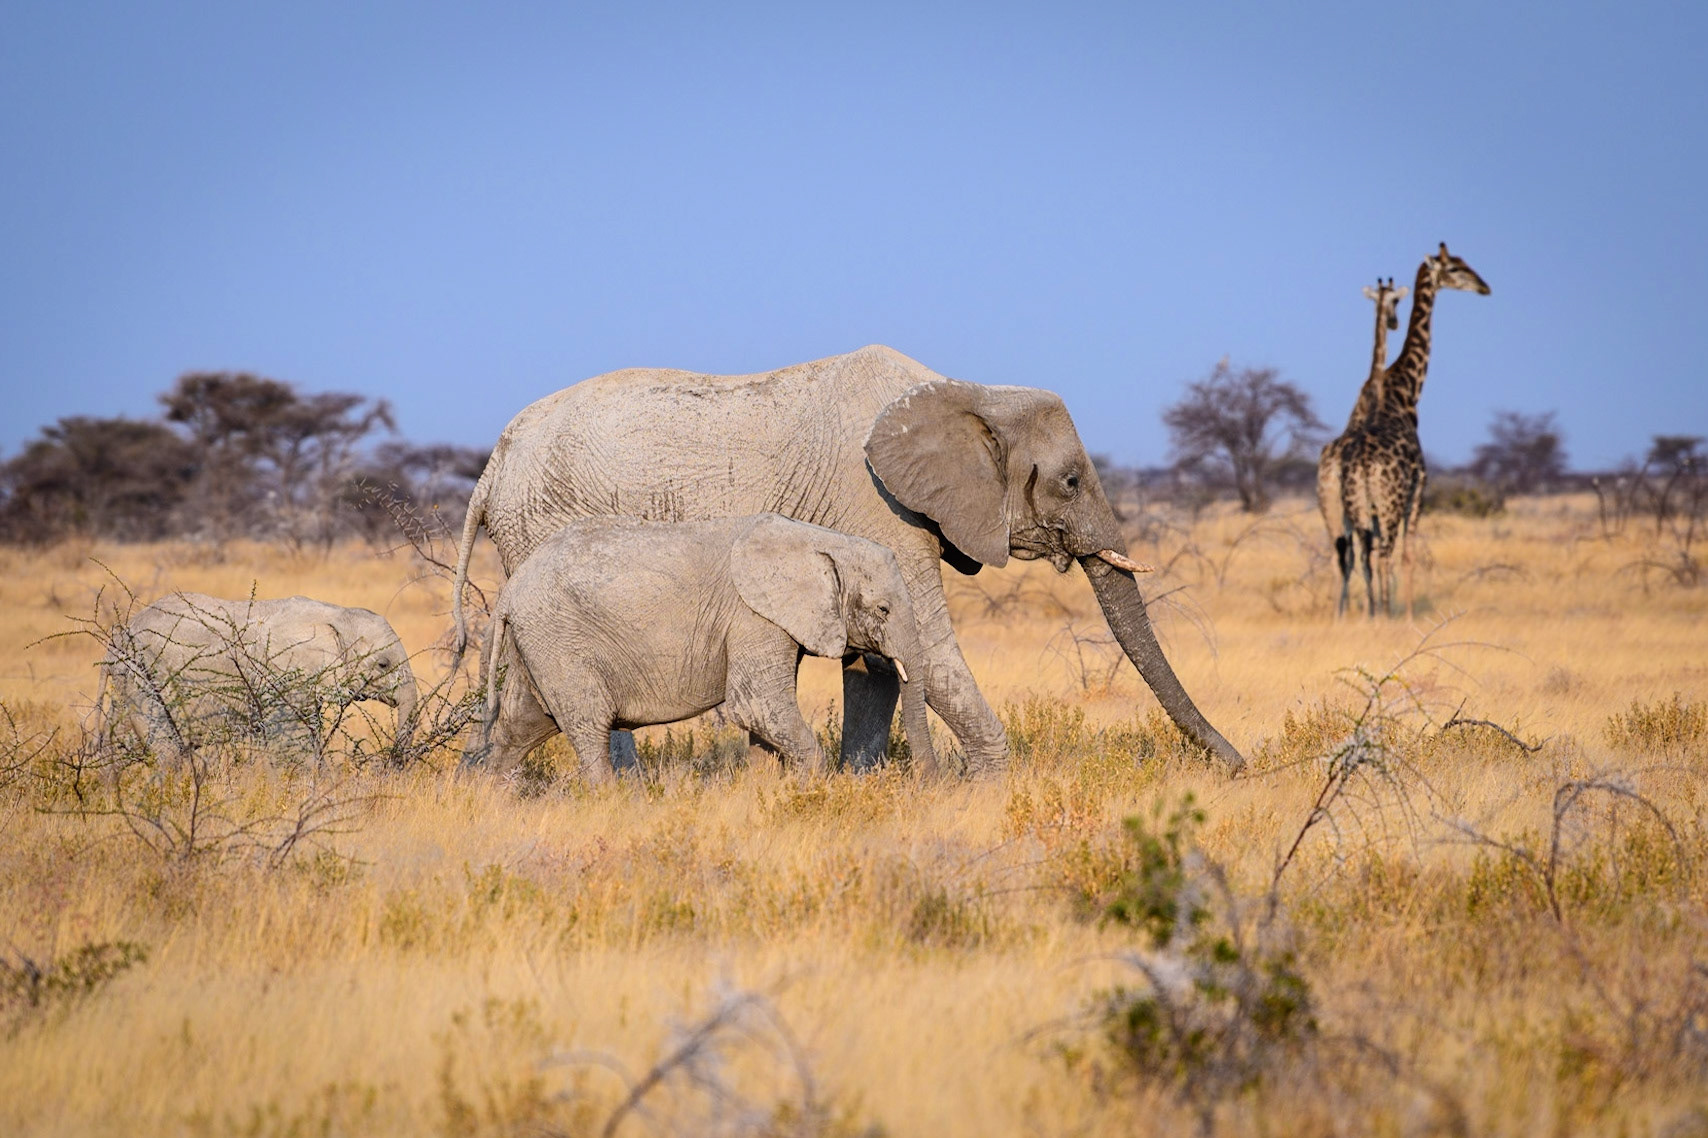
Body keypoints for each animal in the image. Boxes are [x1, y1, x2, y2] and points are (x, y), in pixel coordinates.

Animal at [97, 592, 418, 763]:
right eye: (383, 664)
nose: (391, 763)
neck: (338, 614)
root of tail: (119, 633)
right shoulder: (281, 673)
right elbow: (294, 741)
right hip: (142, 672)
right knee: (166, 750)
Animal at [468, 513, 937, 783]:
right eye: (882, 609)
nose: (927, 785)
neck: (823, 541)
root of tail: (510, 589)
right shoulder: (751, 617)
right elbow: (757, 706)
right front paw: (810, 792)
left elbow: (764, 719)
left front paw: (764, 795)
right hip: (559, 640)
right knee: (587, 727)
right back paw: (612, 801)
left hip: (537, 643)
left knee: (521, 726)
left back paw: (489, 801)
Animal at [1340, 243, 1492, 618]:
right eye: (1454, 268)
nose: (1485, 287)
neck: (1405, 388)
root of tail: (1363, 465)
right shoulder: (1419, 489)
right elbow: (1408, 556)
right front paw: (1407, 616)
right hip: (1389, 504)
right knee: (1383, 556)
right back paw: (1384, 615)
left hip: (1359, 505)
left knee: (1362, 556)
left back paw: (1371, 614)